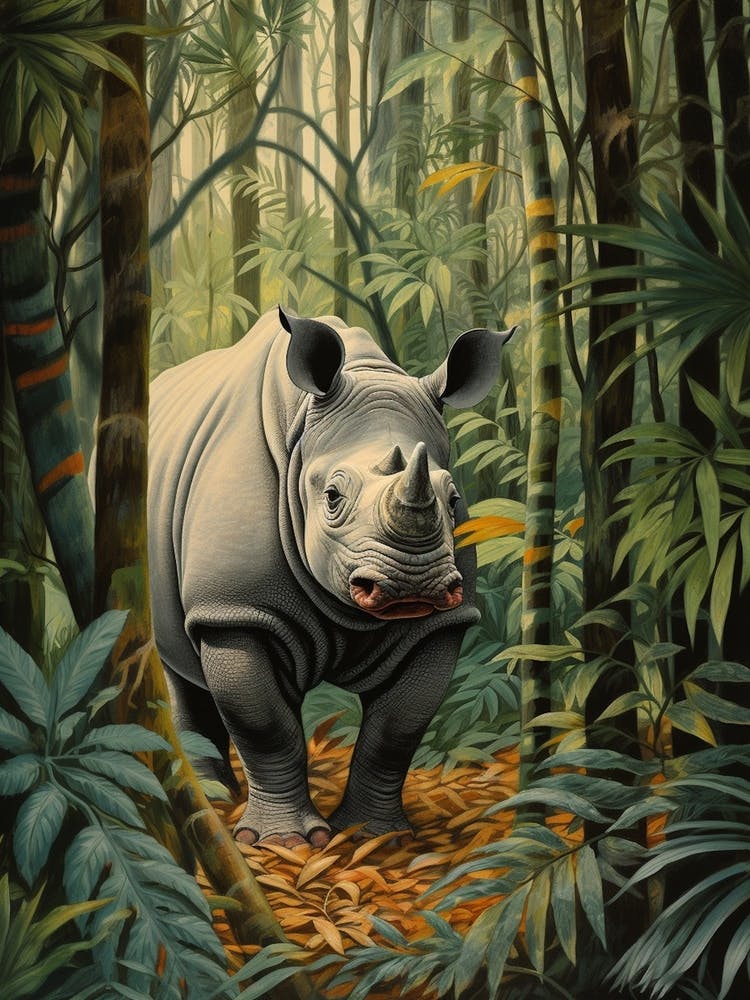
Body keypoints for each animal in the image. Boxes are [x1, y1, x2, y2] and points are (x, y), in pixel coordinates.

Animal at [148, 307, 514, 848]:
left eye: (453, 501)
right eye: (333, 497)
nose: (412, 585)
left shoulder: (440, 623)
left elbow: (397, 729)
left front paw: (374, 836)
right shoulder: (235, 608)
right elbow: (264, 724)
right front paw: (284, 842)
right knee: (178, 661)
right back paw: (215, 801)